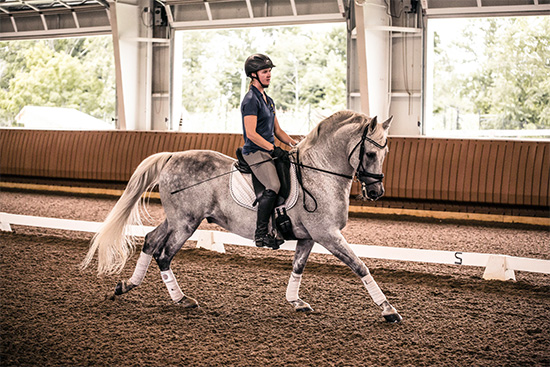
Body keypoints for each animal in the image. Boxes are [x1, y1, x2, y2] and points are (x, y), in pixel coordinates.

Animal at [80, 110, 404, 324]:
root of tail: (172, 156)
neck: (319, 173)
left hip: (177, 219)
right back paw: (181, 299)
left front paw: (296, 301)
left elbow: (298, 268)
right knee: (164, 254)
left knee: (150, 241)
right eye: (370, 154)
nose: (376, 191)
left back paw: (127, 285)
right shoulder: (328, 234)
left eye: (386, 152)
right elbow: (360, 266)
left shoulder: (309, 237)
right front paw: (389, 310)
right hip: (186, 223)